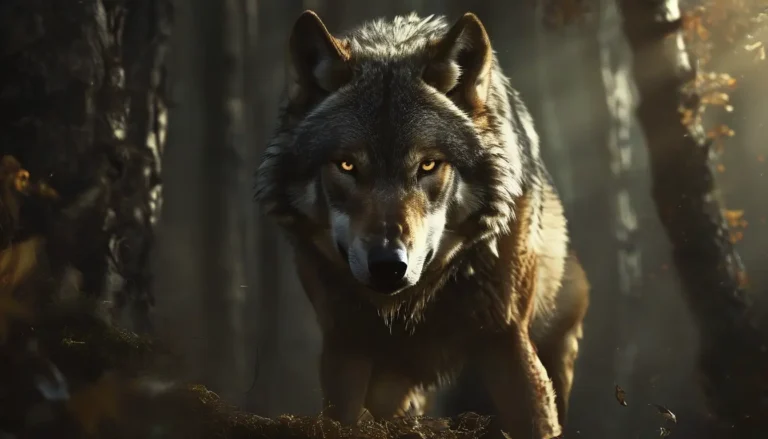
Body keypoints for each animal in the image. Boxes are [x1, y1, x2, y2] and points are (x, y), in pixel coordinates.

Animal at [255, 10, 589, 439]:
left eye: (428, 165)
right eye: (346, 165)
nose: (387, 265)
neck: (410, 306)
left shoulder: (507, 341)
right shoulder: (344, 347)